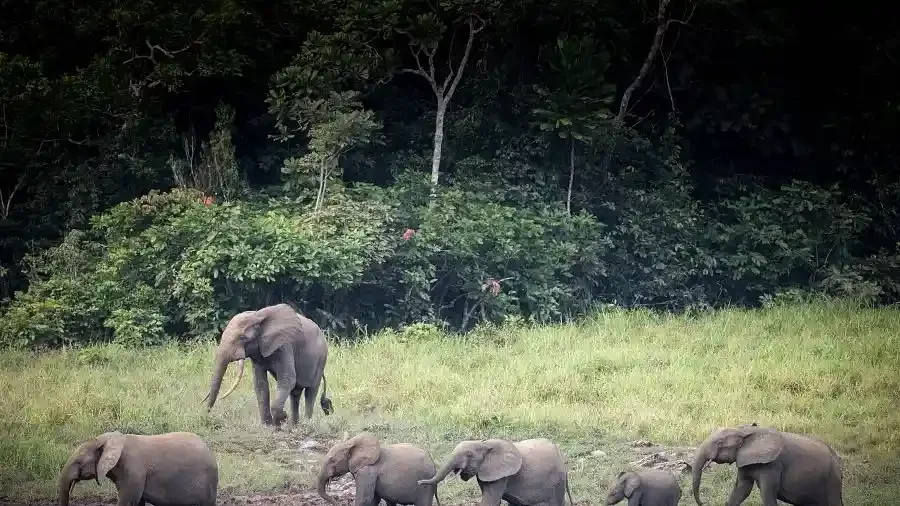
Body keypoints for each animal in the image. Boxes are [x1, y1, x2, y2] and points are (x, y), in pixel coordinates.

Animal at [202, 303, 334, 426]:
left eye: (243, 338)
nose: (206, 417)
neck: (257, 316)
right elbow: (260, 383)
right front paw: (268, 425)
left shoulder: (284, 345)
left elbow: (287, 379)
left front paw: (282, 419)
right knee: (295, 393)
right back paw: (294, 425)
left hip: (321, 359)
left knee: (310, 391)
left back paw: (306, 423)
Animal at [418, 438, 574, 506]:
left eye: (469, 454)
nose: (419, 482)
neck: (484, 444)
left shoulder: (500, 476)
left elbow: (490, 501)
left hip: (557, 481)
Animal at [691, 423, 843, 506]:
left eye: (719, 443)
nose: (703, 503)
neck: (745, 432)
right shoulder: (744, 460)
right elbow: (742, 489)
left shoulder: (773, 465)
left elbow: (766, 493)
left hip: (832, 480)